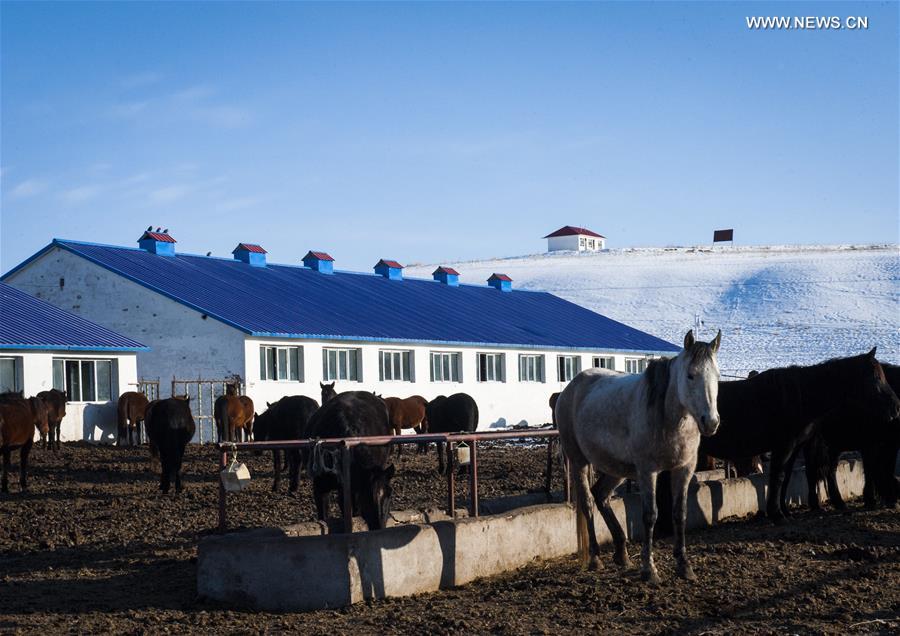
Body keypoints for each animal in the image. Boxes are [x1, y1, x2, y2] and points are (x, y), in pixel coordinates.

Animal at [556, 330, 724, 584]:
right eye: (690, 375)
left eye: (717, 376)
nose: (711, 422)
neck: (668, 417)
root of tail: (569, 389)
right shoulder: (647, 472)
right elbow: (650, 515)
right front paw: (649, 569)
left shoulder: (684, 469)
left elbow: (680, 513)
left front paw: (684, 566)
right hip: (579, 462)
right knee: (587, 502)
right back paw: (595, 558)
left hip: (616, 470)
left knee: (601, 495)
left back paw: (622, 553)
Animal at [704, 350, 900, 524]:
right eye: (876, 377)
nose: (896, 407)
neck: (799, 397)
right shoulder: (783, 447)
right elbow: (777, 477)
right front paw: (777, 515)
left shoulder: (794, 448)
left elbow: (785, 478)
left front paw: (784, 511)